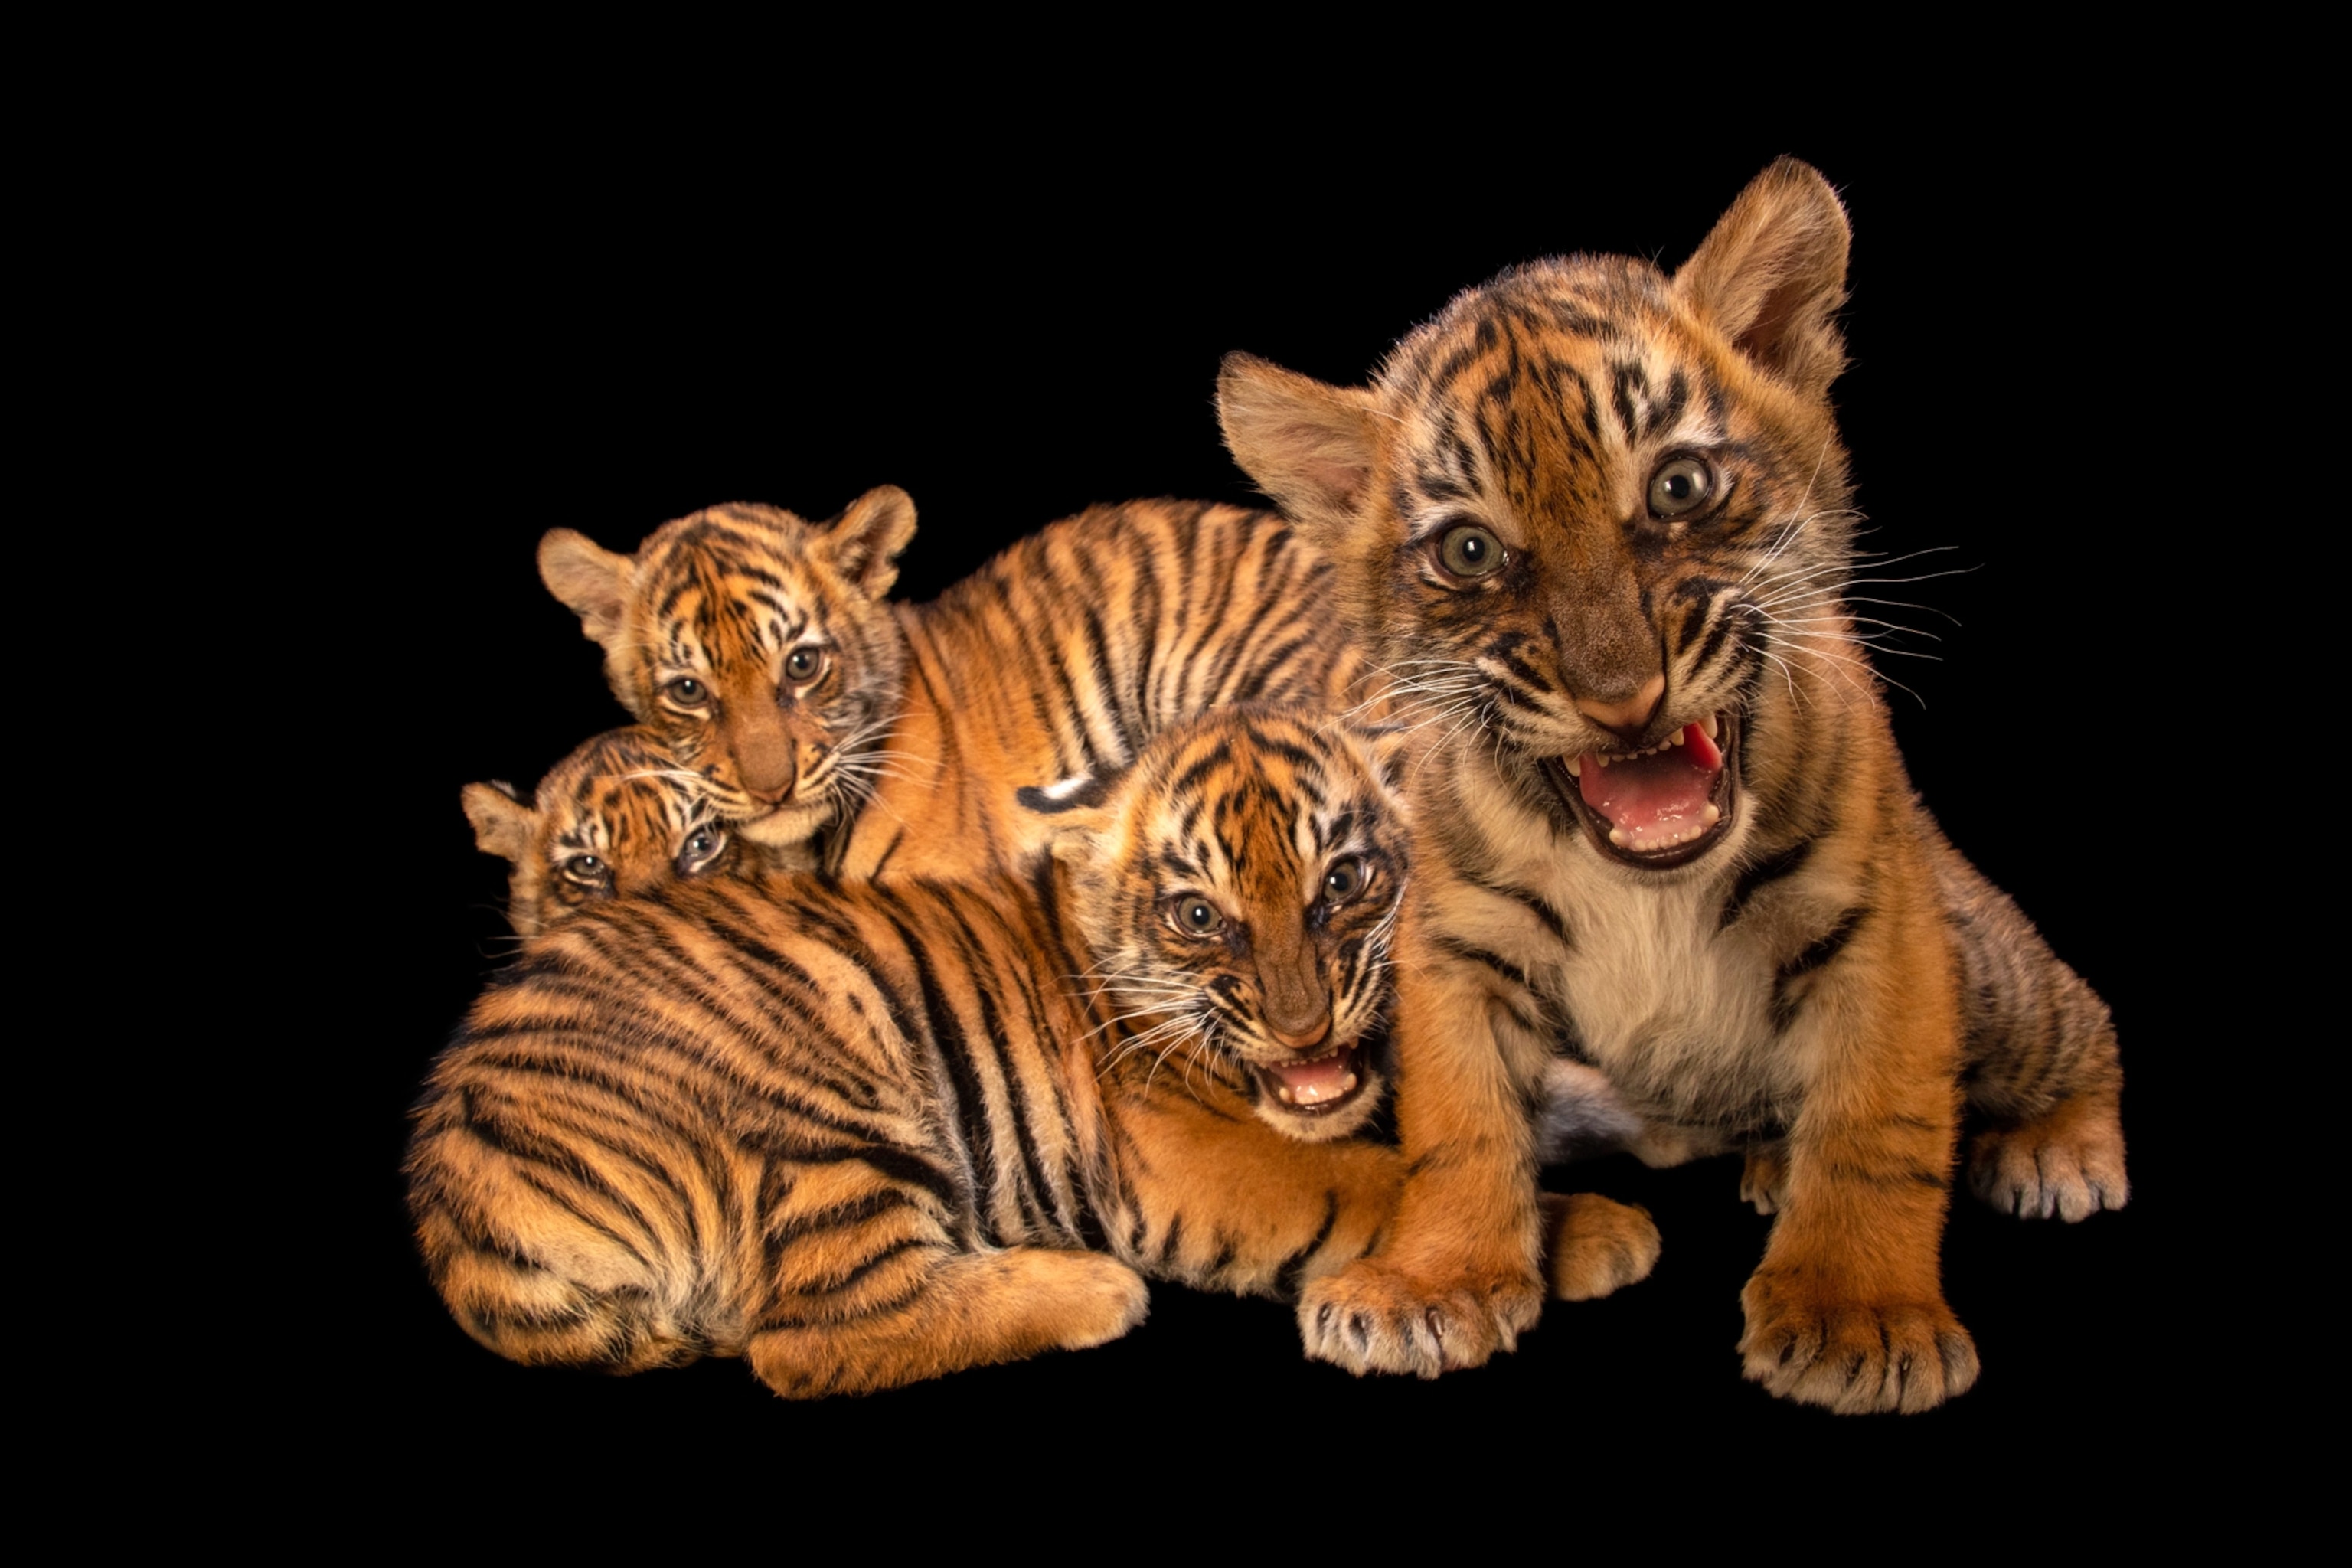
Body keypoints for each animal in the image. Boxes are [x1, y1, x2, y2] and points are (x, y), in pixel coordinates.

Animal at [1215, 158, 2124, 1412]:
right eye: (1470, 552)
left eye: (1680, 485)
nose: (1621, 696)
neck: (1646, 882)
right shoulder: (1456, 946)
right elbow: (1459, 1124)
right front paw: (1432, 1283)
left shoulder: (1882, 925)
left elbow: (1876, 1125)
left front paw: (1856, 1316)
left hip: (1997, 976)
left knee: (2079, 1019)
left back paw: (2062, 1148)